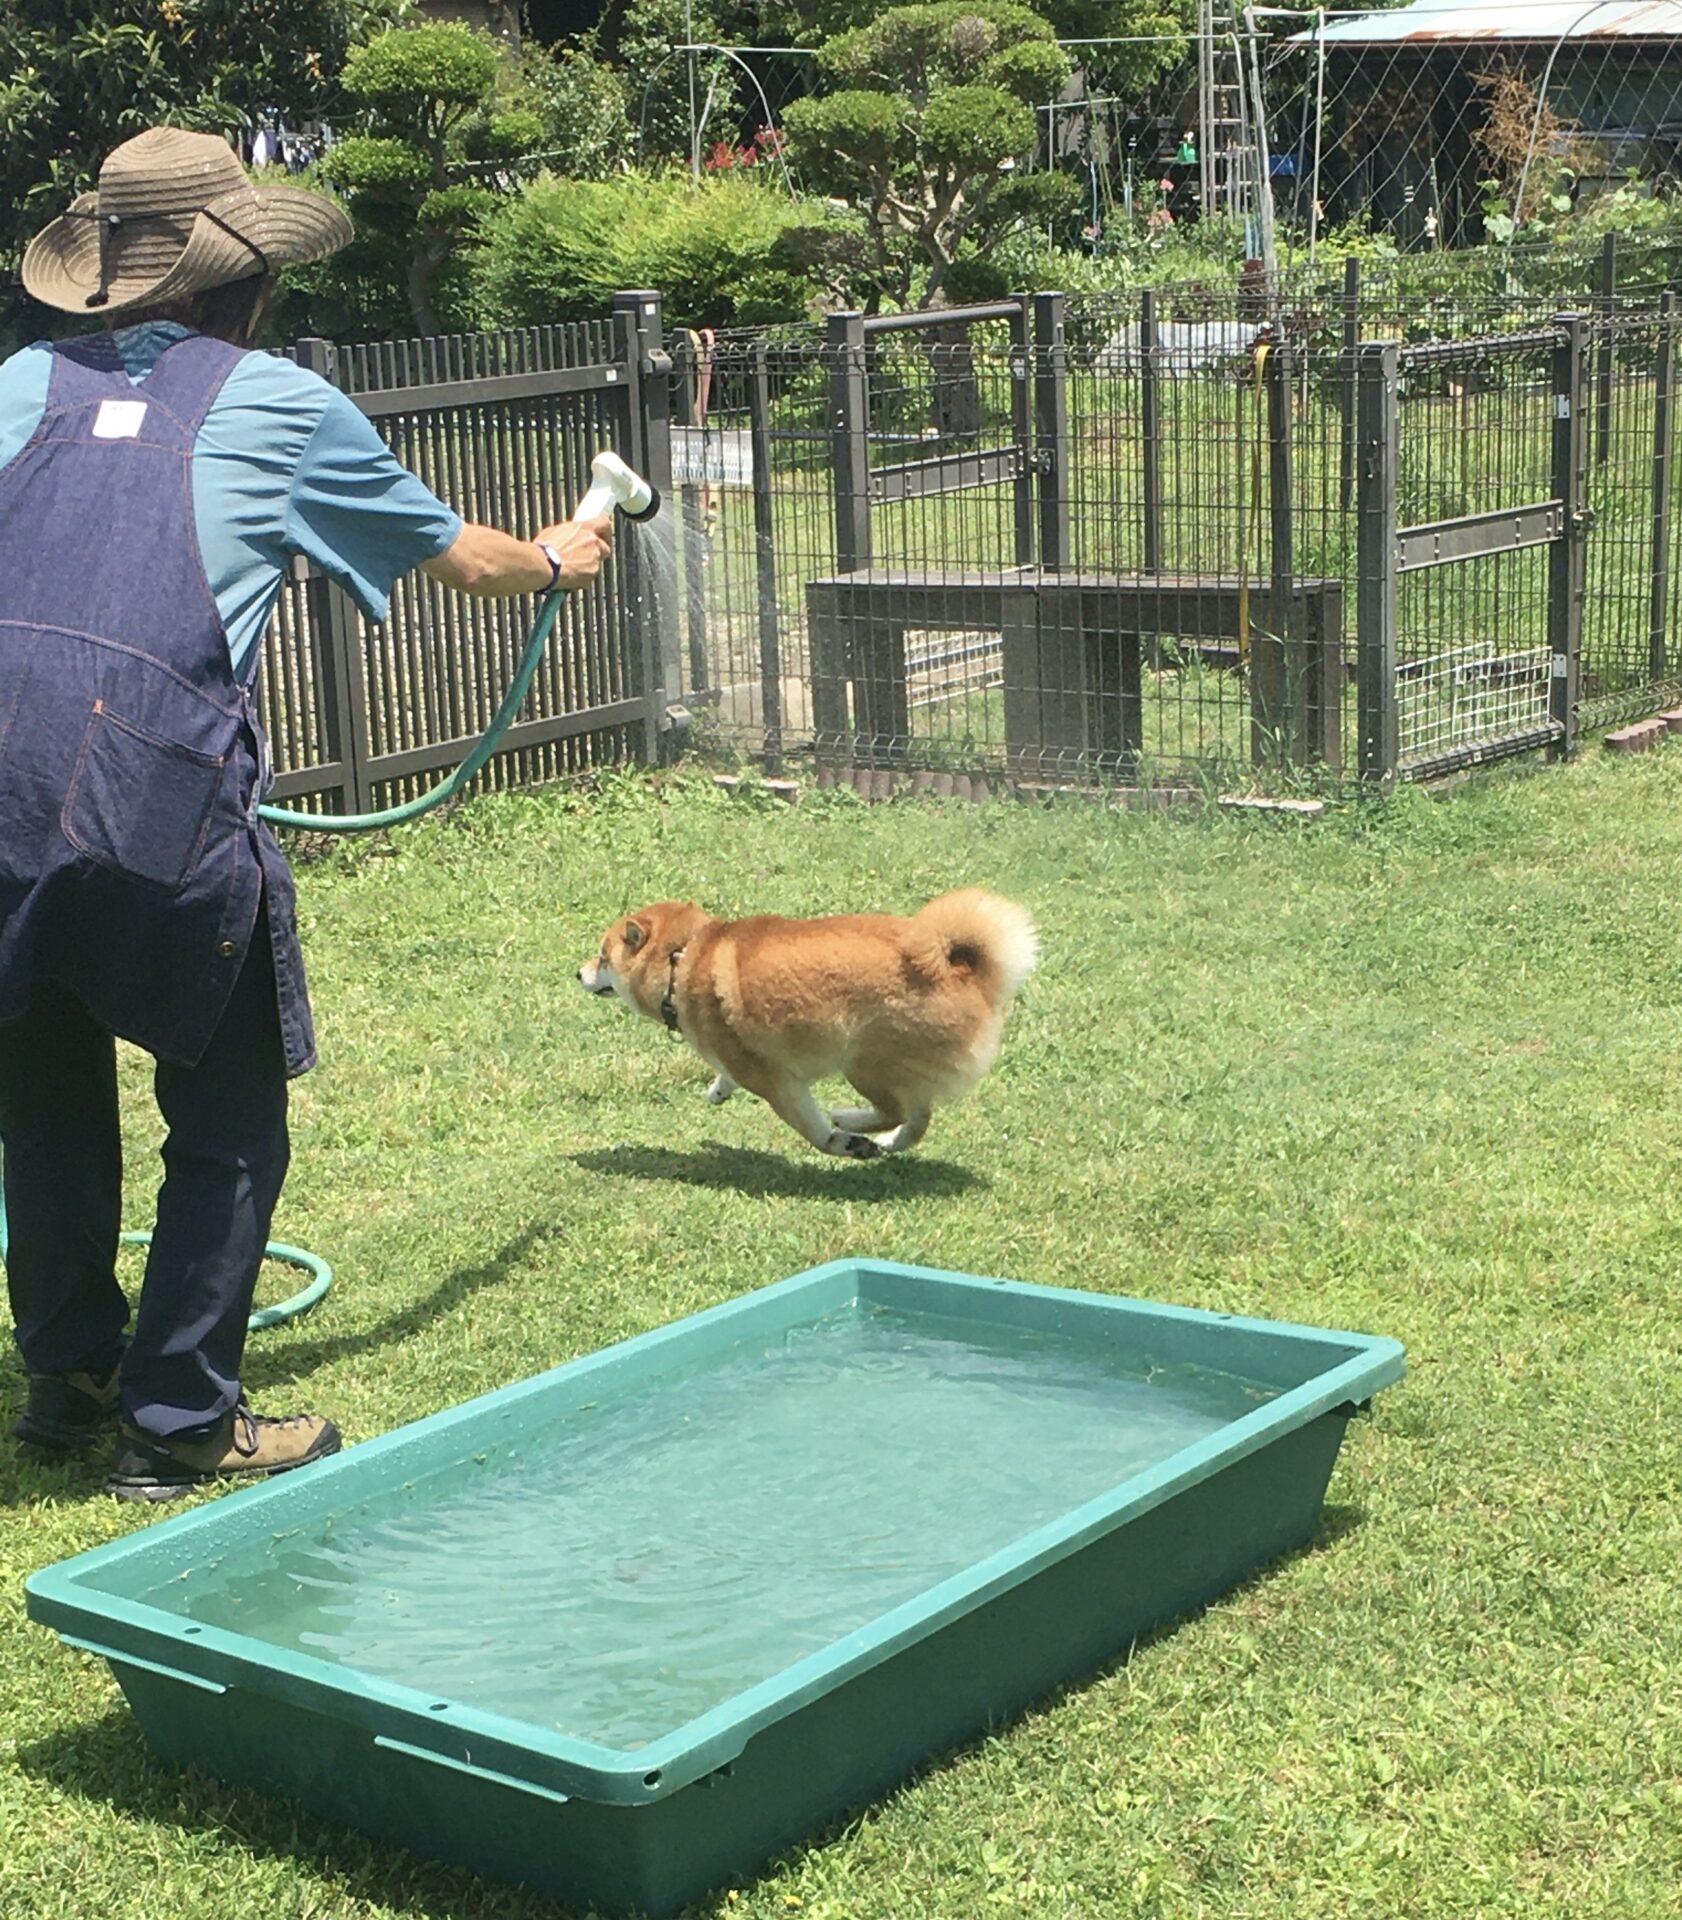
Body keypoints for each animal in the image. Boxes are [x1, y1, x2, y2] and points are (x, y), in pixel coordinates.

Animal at [578, 890, 1037, 1158]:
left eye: (602, 957)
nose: (578, 973)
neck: (683, 958)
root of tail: (963, 970)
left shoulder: (776, 1081)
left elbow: (810, 1127)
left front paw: (838, 1142)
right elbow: (726, 1073)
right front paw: (718, 1090)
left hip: (862, 1062)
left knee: (897, 1110)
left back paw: (850, 1122)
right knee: (918, 1118)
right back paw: (889, 1142)